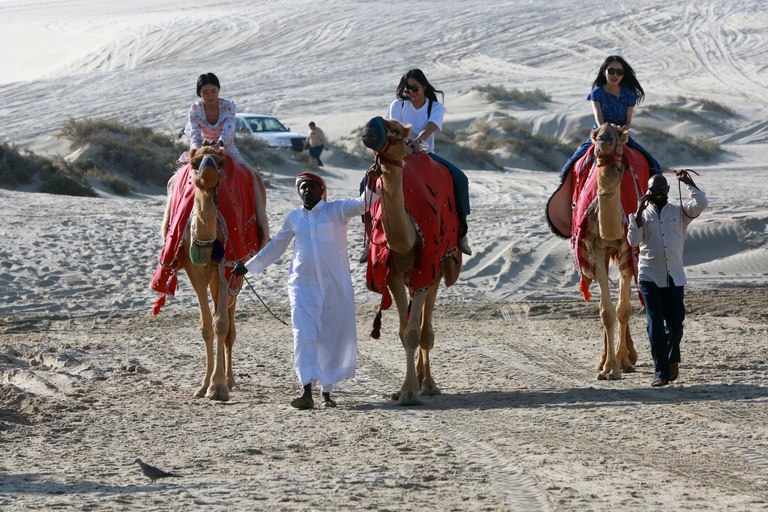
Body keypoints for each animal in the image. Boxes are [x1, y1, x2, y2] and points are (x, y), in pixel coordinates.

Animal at [154, 144, 268, 400]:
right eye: (194, 163)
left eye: (221, 162)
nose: (208, 175)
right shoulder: (193, 267)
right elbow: (206, 325)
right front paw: (204, 385)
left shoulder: (229, 264)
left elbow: (221, 324)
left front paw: (218, 387)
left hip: (235, 269)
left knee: (230, 323)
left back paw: (231, 380)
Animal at [362, 118, 462, 406]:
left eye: (396, 130)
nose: (369, 129)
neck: (407, 237)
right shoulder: (393, 273)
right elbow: (403, 331)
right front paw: (402, 389)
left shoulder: (427, 268)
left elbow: (414, 333)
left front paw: (409, 393)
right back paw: (419, 379)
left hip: (439, 268)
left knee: (426, 329)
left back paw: (427, 384)